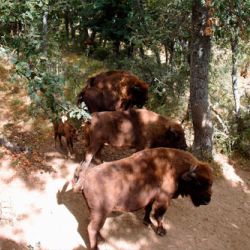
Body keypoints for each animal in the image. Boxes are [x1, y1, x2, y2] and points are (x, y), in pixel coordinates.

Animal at [74, 147, 213, 249]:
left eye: (211, 183)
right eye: (199, 183)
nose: (207, 201)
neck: (177, 168)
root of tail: (85, 177)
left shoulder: (151, 198)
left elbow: (148, 209)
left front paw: (147, 222)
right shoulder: (163, 200)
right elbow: (160, 216)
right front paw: (161, 231)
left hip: (97, 213)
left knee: (94, 226)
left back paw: (102, 239)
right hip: (101, 212)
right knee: (92, 228)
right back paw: (96, 246)